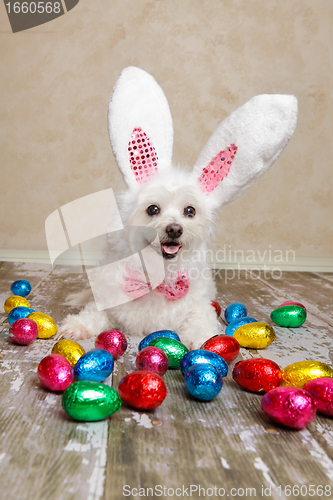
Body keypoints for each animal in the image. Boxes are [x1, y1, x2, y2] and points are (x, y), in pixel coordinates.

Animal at [56, 65, 296, 348]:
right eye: (153, 209)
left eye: (189, 211)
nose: (174, 229)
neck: (159, 277)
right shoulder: (109, 300)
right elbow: (93, 313)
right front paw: (75, 326)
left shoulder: (197, 308)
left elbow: (201, 326)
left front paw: (208, 344)